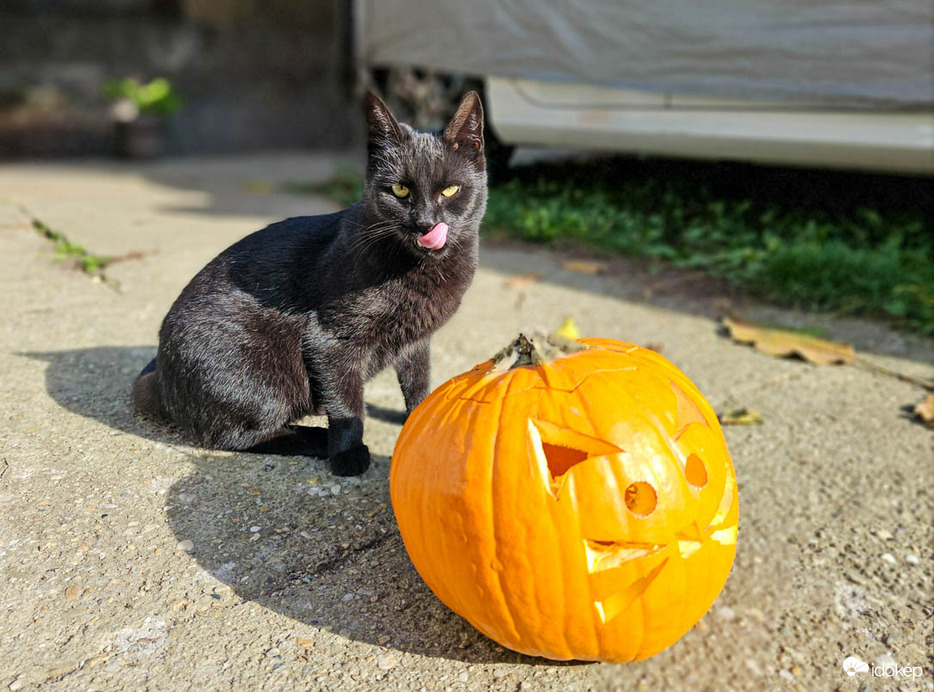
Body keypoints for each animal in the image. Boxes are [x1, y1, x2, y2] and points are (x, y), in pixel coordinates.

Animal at [135, 90, 494, 476]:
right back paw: (318, 439)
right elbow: (349, 408)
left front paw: (425, 424)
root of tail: (159, 376)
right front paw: (348, 455)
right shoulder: (331, 340)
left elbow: (417, 385)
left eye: (450, 189)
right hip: (264, 380)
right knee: (232, 436)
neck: (419, 267)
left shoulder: (415, 340)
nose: (426, 223)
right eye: (400, 189)